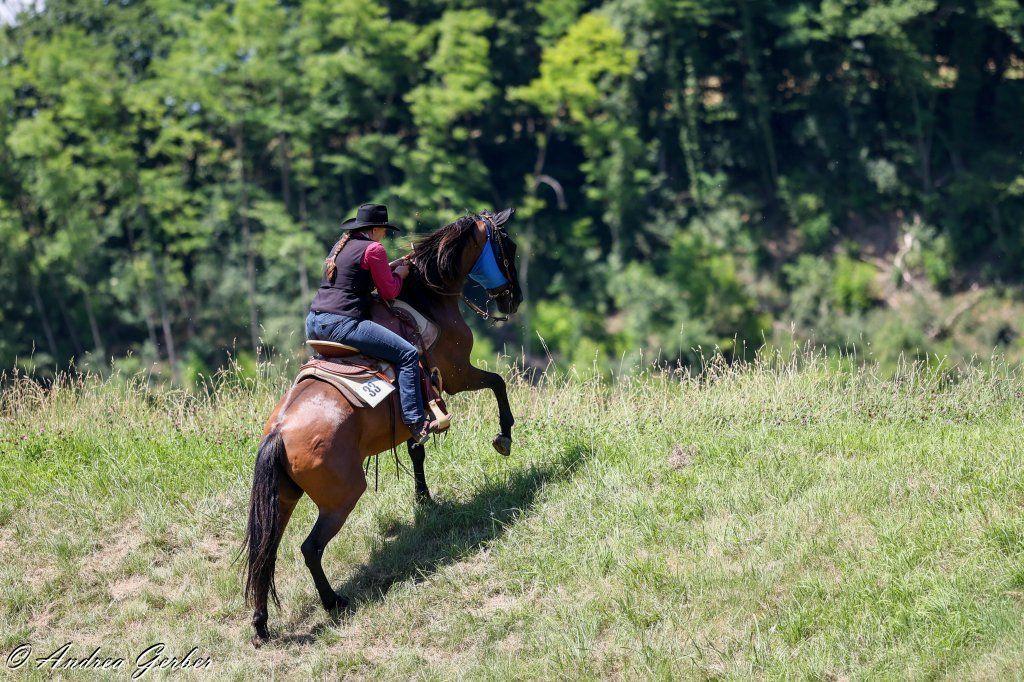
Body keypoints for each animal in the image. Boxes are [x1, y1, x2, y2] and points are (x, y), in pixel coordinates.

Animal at [243, 209, 522, 645]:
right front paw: (504, 436)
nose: (514, 298)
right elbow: (497, 383)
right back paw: (333, 601)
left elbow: (417, 448)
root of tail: (279, 433)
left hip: (282, 498)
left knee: (266, 551)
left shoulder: (418, 404)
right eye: (508, 246)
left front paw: (424, 499)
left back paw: (261, 623)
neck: (425, 298)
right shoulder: (457, 375)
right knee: (310, 548)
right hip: (341, 498)